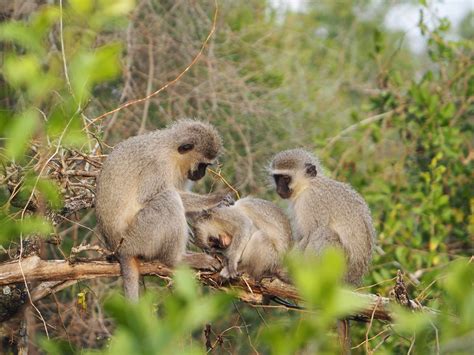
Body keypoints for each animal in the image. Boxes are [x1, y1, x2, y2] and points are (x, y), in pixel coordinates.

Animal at [95, 120, 229, 304]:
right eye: (202, 165)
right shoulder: (158, 166)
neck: (171, 151)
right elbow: (149, 196)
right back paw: (177, 260)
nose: (201, 174)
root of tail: (119, 250)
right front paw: (214, 200)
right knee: (169, 199)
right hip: (138, 238)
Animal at [270, 149, 374, 286]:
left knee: (322, 233)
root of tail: (352, 280)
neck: (308, 185)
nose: (279, 189)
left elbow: (308, 235)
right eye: (277, 178)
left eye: (286, 178)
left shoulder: (310, 201)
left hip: (340, 269)